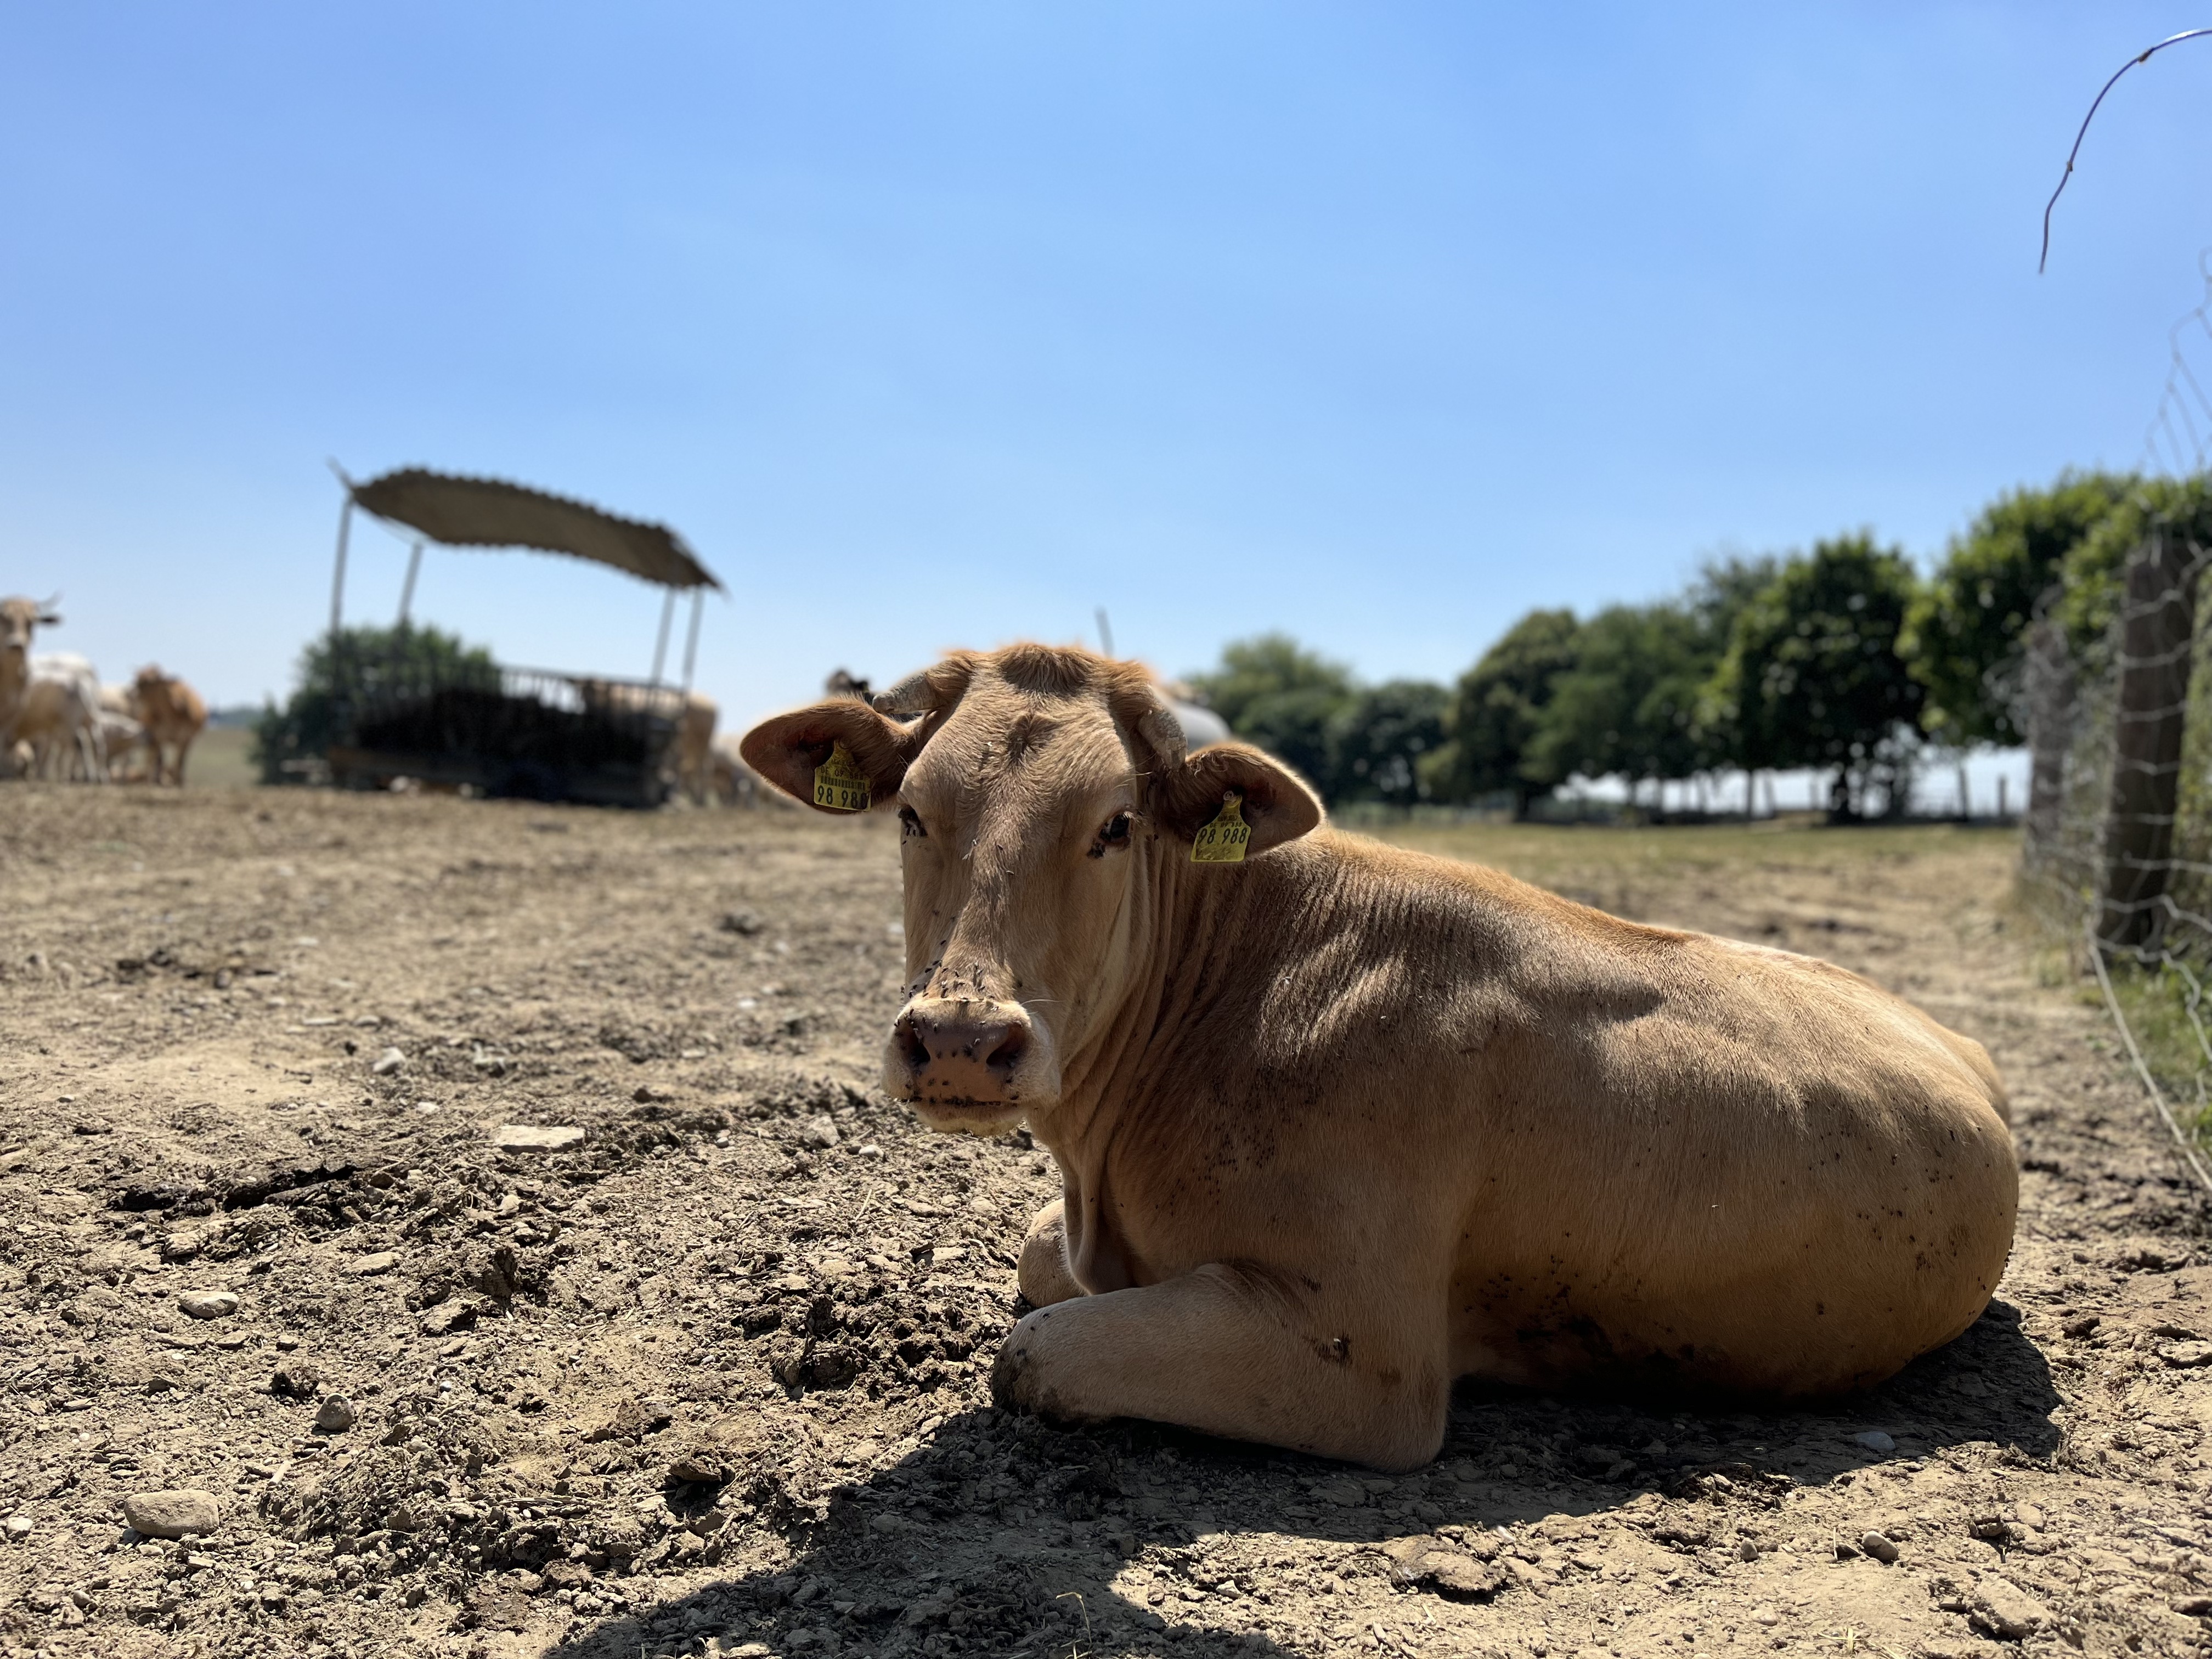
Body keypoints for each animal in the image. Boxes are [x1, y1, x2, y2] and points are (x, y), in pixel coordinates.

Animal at [131, 666, 208, 786]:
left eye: (148, 682)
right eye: (137, 679)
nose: (132, 692)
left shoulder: (185, 738)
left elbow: (180, 760)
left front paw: (179, 782)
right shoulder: (157, 736)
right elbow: (159, 759)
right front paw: (158, 781)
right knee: (154, 758)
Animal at [740, 644, 2017, 1472]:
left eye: (1114, 824)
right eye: (912, 811)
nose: (960, 1038)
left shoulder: (1365, 1358)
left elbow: (1035, 1352)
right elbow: (1037, 1253)